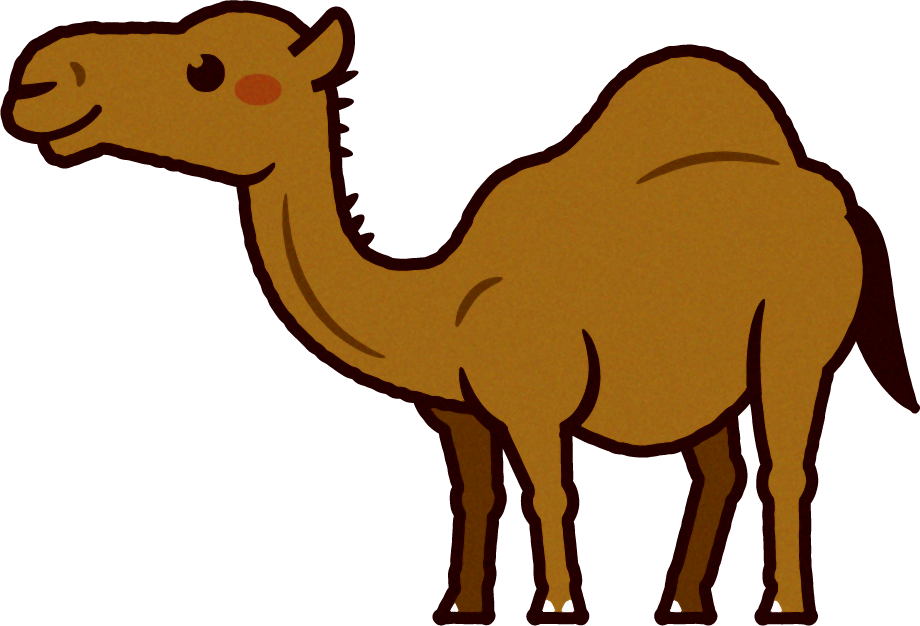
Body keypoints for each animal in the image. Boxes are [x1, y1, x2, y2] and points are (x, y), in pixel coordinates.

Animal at [12, 13, 863, 614]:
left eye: (204, 70)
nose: (44, 76)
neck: (439, 305)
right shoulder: (458, 412)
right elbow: (476, 496)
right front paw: (464, 601)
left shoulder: (533, 403)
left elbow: (547, 496)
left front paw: (559, 602)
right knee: (717, 464)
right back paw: (686, 599)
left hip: (795, 333)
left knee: (784, 462)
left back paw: (787, 600)